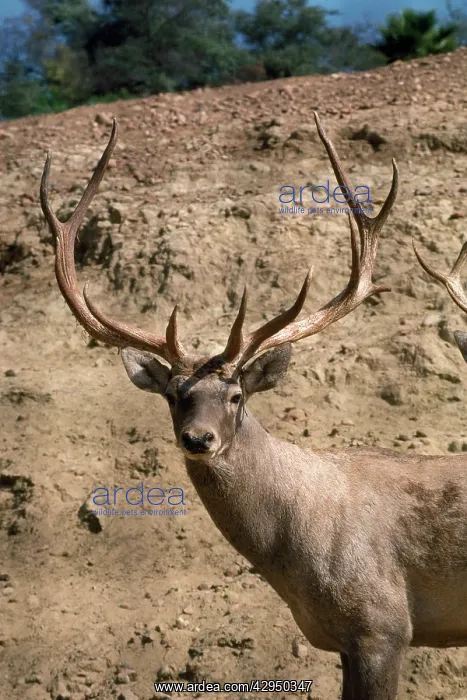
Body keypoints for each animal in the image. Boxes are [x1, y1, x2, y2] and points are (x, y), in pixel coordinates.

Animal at [40, 112, 467, 700]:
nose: (199, 439)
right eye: (176, 395)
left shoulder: (384, 625)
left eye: (236, 395)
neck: (297, 561)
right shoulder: (345, 641)